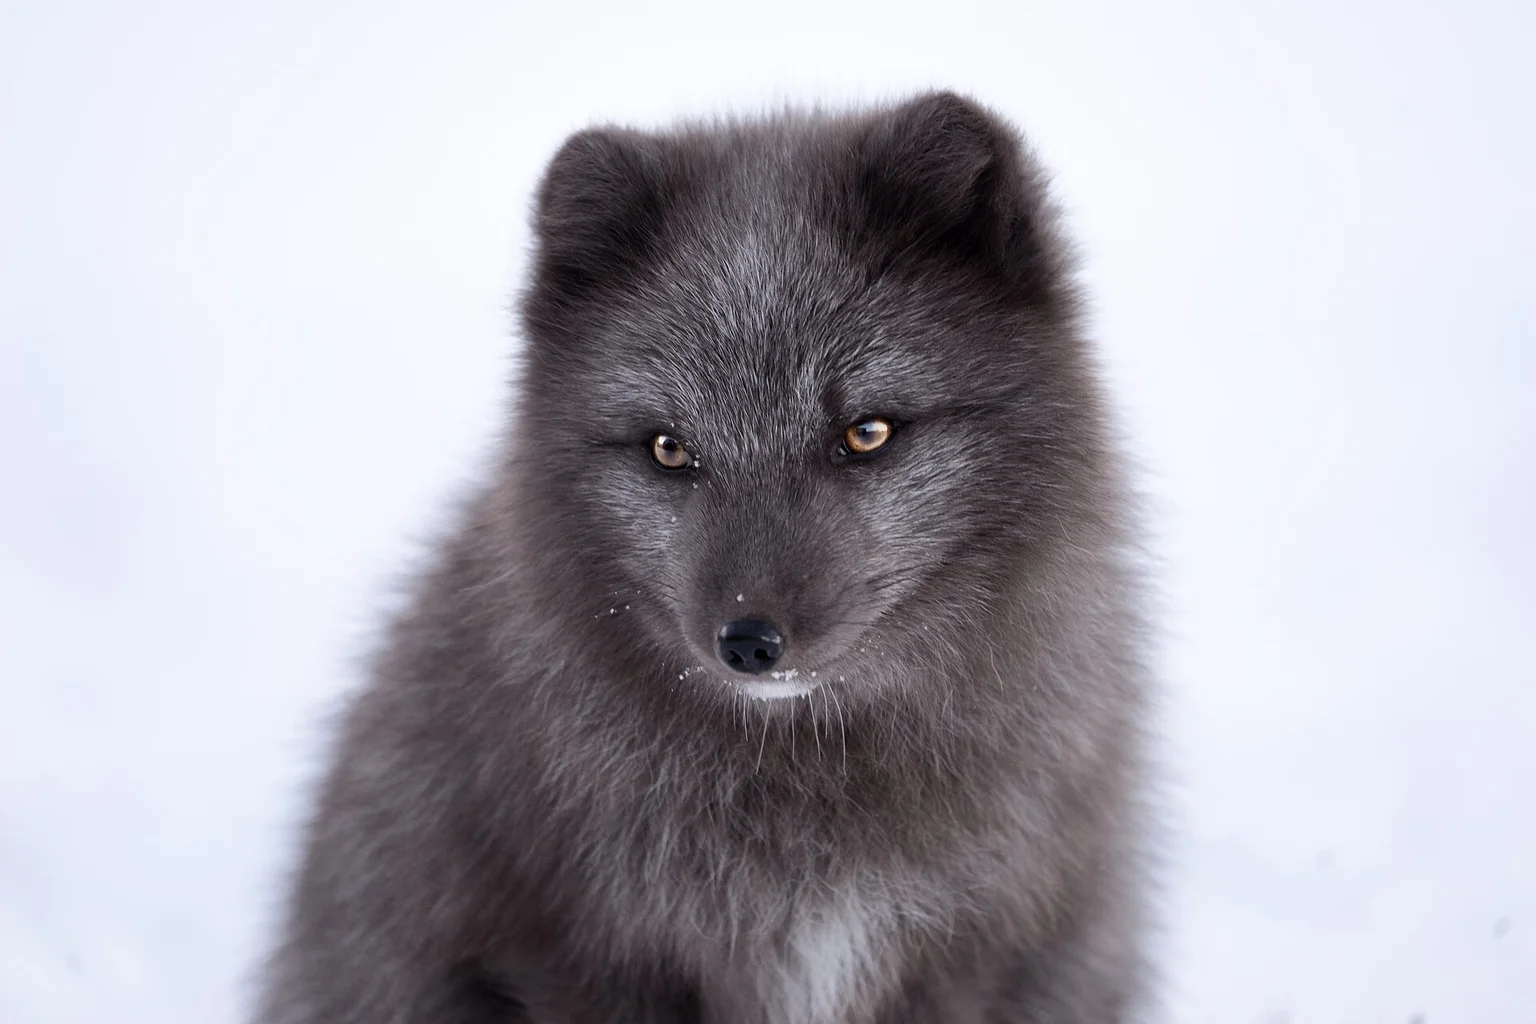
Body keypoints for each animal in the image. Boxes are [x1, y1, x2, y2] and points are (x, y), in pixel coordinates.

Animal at [252, 90, 1155, 1023]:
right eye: (669, 449)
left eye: (866, 432)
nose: (749, 642)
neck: (806, 790)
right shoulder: (578, 954)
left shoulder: (974, 951)